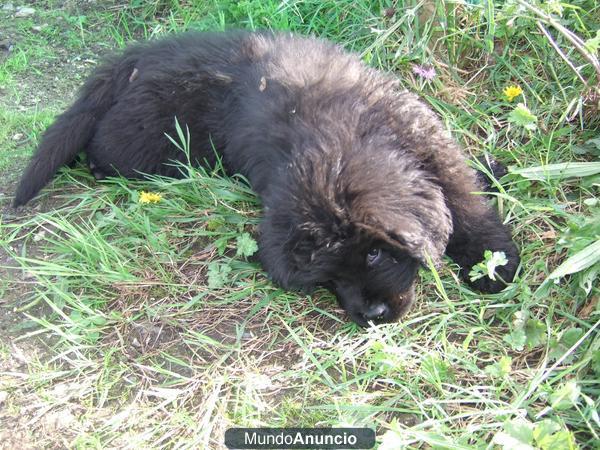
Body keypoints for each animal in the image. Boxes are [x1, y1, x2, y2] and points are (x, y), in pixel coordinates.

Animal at [14, 32, 520, 326]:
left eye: (375, 253)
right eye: (327, 280)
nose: (371, 316)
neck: (342, 136)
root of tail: (139, 53)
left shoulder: (431, 143)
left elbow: (466, 200)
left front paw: (494, 260)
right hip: (148, 138)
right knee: (104, 145)